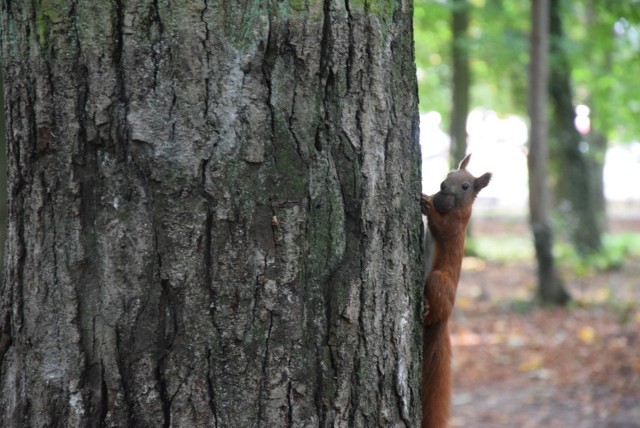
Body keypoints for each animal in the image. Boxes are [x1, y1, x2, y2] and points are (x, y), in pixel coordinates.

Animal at [420, 154, 490, 428]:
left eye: (465, 186)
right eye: (450, 173)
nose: (442, 186)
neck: (453, 206)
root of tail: (445, 320)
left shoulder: (457, 226)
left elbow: (442, 227)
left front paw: (427, 202)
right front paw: (429, 195)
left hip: (439, 281)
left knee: (434, 310)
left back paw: (427, 310)